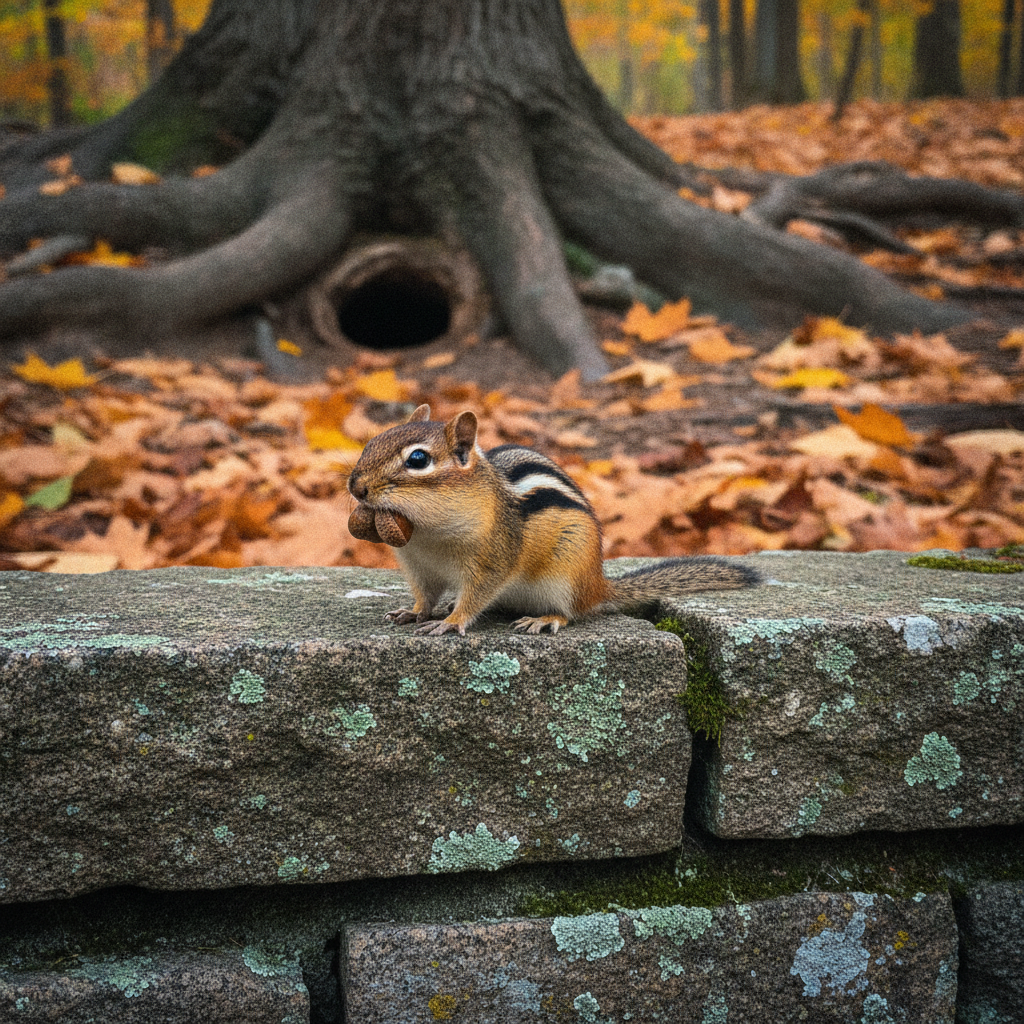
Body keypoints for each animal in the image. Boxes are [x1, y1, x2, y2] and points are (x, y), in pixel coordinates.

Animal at [347, 404, 759, 636]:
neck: (426, 534)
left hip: (564, 575)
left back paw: (545, 619)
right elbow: (425, 594)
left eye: (418, 460)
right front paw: (416, 612)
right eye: (372, 442)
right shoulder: (419, 566)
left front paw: (451, 621)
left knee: (571, 613)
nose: (356, 486)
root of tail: (598, 584)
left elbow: (477, 593)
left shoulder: (493, 557)